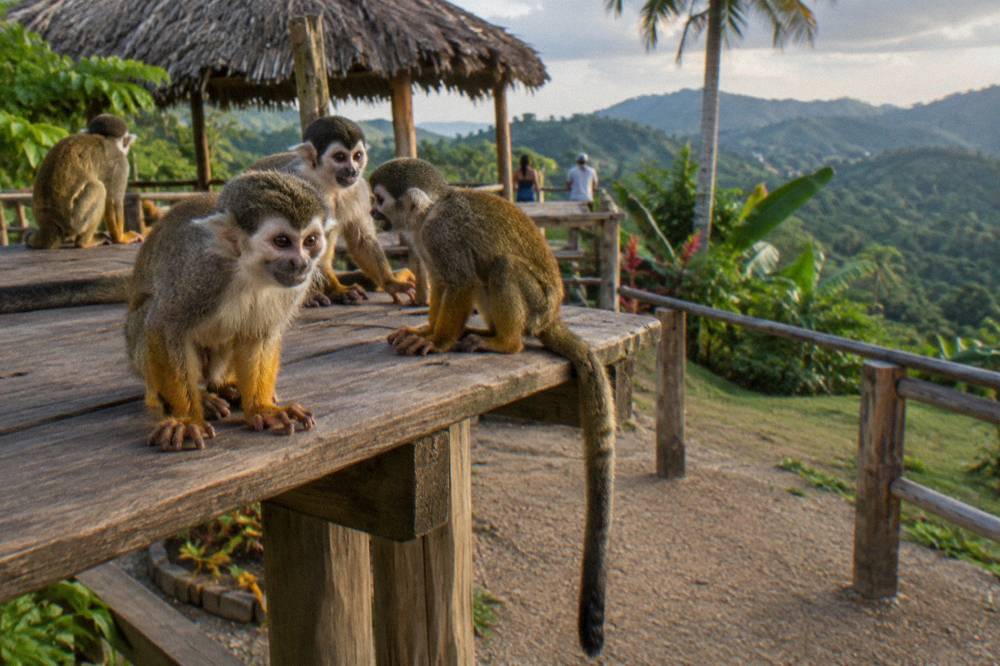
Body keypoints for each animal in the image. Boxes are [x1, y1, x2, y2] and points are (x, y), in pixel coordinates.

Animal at [26, 114, 142, 249]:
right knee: (99, 189)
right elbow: (113, 201)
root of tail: (49, 224)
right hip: (74, 221)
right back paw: (84, 242)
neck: (105, 138)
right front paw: (121, 238)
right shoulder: (121, 163)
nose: (127, 147)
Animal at [125, 171, 328, 451]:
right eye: (282, 241)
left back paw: (225, 386)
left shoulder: (295, 287)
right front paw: (187, 419)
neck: (248, 270)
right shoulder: (201, 269)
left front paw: (262, 409)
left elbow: (259, 334)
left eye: (310, 241)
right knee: (148, 315)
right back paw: (194, 398)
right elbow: (164, 324)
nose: (302, 263)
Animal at [250, 116, 415, 307]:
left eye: (357, 156)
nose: (352, 170)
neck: (327, 184)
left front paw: (391, 283)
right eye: (340, 157)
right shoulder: (298, 183)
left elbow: (361, 240)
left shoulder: (359, 189)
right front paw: (322, 293)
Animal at [369, 158, 616, 658]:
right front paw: (424, 330)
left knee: (498, 268)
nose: (371, 213)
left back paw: (505, 343)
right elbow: (442, 282)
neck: (429, 214)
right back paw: (487, 335)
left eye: (380, 200)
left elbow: (459, 280)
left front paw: (436, 341)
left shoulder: (441, 233)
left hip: (535, 303)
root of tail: (552, 315)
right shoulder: (427, 241)